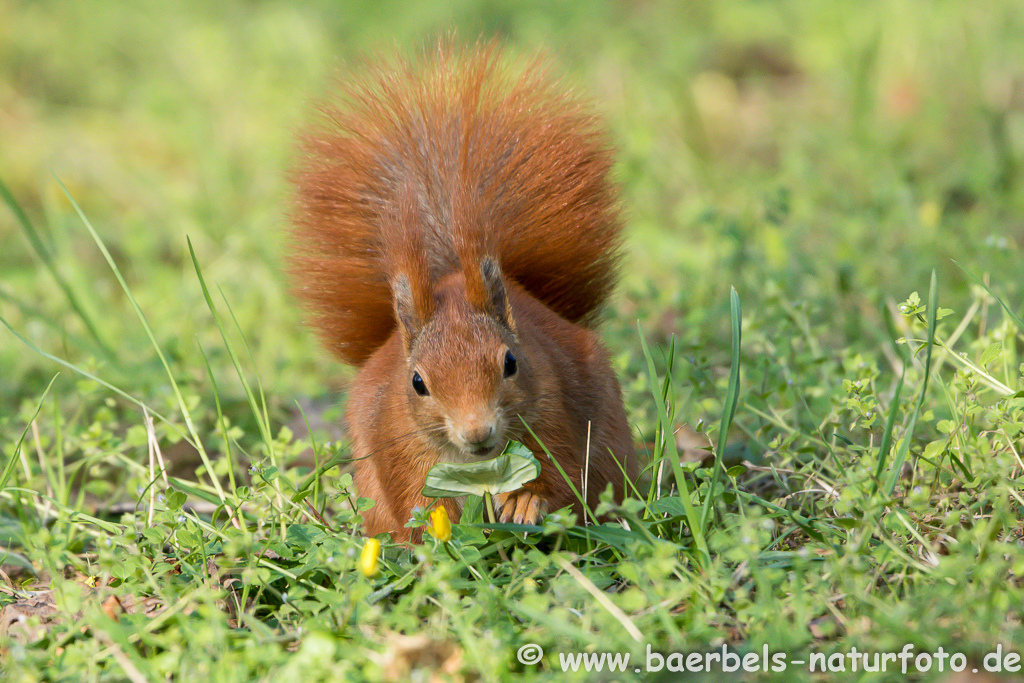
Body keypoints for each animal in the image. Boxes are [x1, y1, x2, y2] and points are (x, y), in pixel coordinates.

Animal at [288, 44, 634, 544]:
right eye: (417, 383)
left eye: (511, 362)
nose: (477, 432)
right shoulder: (399, 444)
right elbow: (414, 497)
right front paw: (440, 522)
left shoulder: (552, 413)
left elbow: (562, 475)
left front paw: (526, 502)